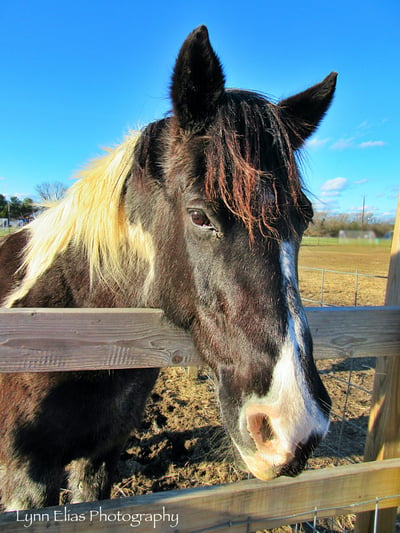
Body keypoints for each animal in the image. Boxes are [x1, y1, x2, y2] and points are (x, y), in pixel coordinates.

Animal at [0, 27, 336, 510]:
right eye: (199, 216)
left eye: (305, 218)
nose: (296, 425)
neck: (70, 333)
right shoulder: (25, 480)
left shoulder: (100, 457)